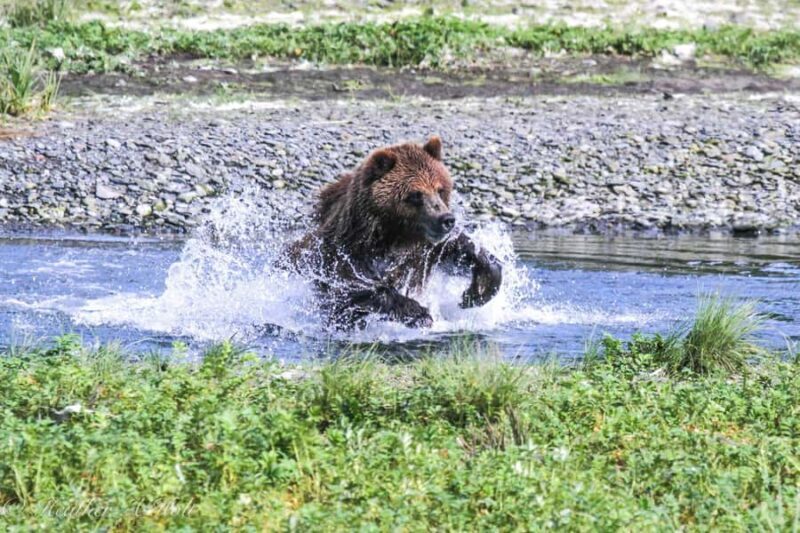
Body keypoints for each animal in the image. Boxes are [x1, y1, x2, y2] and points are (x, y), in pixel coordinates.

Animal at [287, 135, 502, 330]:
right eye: (416, 194)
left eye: (440, 189)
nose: (446, 219)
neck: (393, 236)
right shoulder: (344, 251)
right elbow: (352, 287)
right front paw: (418, 313)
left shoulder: (426, 250)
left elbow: (459, 248)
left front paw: (475, 292)